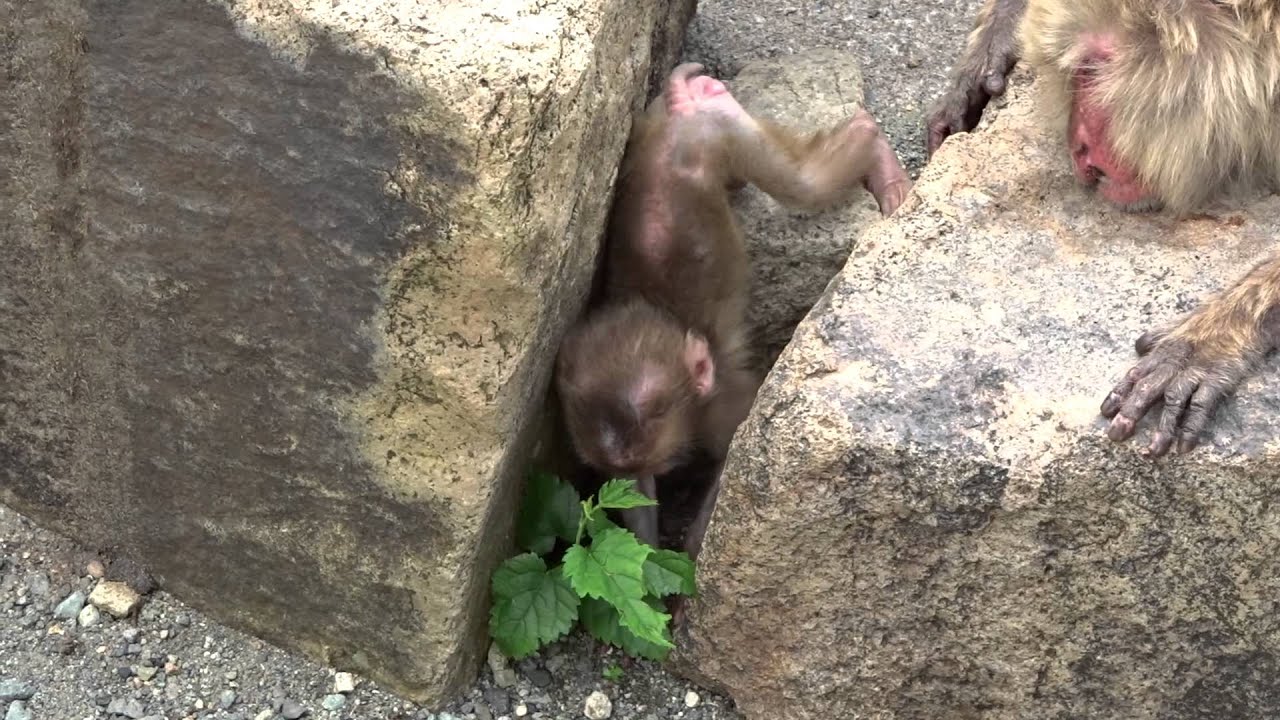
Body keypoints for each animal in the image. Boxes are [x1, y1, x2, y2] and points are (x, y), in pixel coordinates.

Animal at [557, 62, 912, 555]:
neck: (667, 317)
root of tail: (682, 119)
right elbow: (636, 499)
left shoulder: (721, 402)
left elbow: (737, 463)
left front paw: (691, 558)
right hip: (658, 122)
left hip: (726, 134)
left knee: (802, 183)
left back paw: (879, 160)